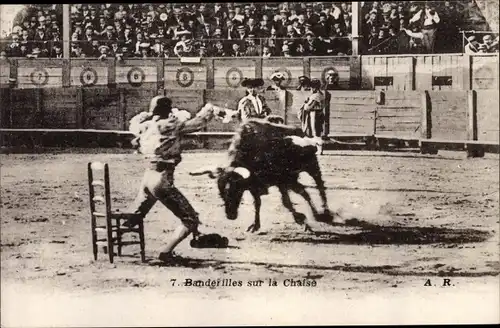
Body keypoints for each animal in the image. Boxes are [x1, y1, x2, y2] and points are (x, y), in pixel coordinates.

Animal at [188, 118, 336, 233]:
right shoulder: (254, 184)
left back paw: (326, 213)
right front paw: (255, 225)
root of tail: (301, 132)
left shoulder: (281, 181)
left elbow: (286, 202)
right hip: (293, 179)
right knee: (304, 192)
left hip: (311, 167)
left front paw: (301, 220)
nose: (230, 216)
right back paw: (316, 214)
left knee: (320, 186)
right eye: (221, 194)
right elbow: (257, 203)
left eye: (236, 190)